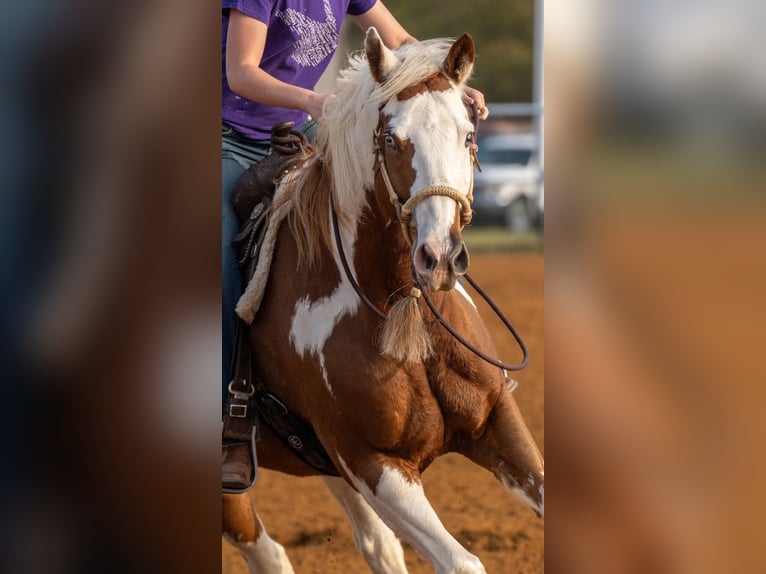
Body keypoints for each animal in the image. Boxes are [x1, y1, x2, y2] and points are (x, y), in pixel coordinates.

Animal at [222, 28, 544, 574]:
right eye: (392, 139)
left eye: (468, 135)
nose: (440, 257)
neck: (400, 307)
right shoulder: (372, 463)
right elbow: (463, 563)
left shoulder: (497, 418)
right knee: (263, 547)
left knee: (377, 545)